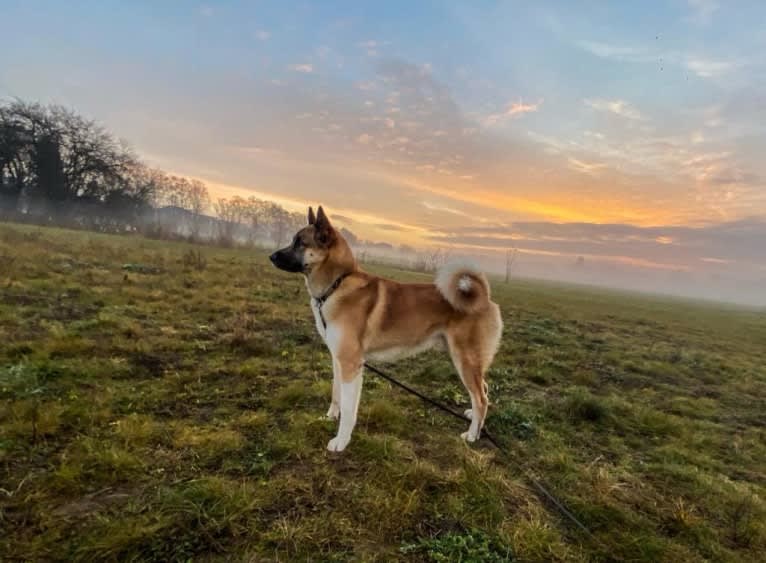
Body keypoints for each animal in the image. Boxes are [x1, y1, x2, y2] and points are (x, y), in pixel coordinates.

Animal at [270, 207, 504, 454]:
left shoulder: (351, 363)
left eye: (300, 243)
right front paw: (330, 416)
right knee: (483, 390)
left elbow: (349, 409)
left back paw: (472, 434)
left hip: (465, 359)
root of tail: (484, 298)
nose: (271, 257)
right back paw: (473, 419)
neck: (338, 284)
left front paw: (341, 441)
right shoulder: (338, 359)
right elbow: (336, 393)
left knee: (481, 398)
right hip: (465, 359)